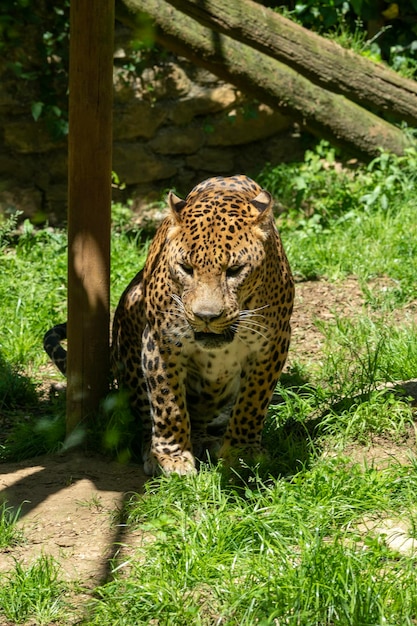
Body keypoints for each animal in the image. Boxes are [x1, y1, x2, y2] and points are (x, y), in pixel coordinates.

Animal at [44, 176, 294, 472]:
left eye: (234, 270)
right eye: (186, 268)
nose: (206, 316)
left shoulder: (273, 343)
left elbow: (253, 401)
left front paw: (242, 451)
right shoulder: (161, 341)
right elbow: (167, 403)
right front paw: (171, 458)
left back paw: (208, 440)